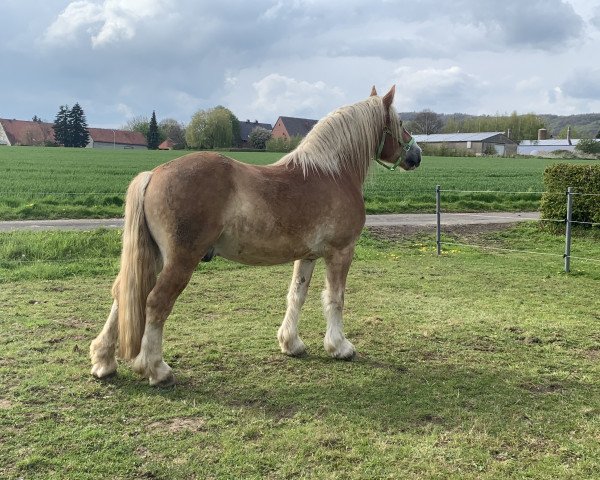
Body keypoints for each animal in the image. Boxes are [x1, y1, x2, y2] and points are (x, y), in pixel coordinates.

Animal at [89, 86, 422, 386]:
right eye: (400, 123)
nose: (417, 155)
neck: (333, 173)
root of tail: (154, 174)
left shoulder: (308, 256)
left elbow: (297, 295)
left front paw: (291, 343)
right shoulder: (341, 252)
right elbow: (335, 298)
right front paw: (340, 347)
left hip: (155, 257)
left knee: (123, 294)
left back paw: (104, 361)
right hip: (180, 261)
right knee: (156, 303)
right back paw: (156, 369)